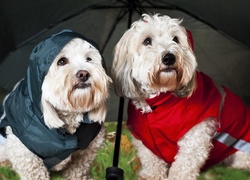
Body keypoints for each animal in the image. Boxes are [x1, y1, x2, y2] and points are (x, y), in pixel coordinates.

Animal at [0, 29, 112, 180]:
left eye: (89, 59)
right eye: (62, 61)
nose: (83, 74)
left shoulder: (87, 152)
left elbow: (79, 170)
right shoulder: (27, 157)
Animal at [111, 14, 250, 180]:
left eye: (176, 39)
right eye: (147, 41)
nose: (169, 57)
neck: (159, 102)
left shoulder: (196, 135)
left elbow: (184, 164)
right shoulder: (144, 139)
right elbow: (151, 159)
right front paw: (152, 175)